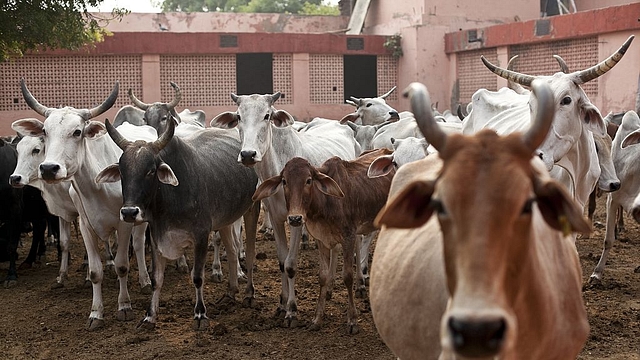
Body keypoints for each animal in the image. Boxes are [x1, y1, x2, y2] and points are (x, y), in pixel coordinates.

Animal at [12, 80, 158, 330]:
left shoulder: (124, 223)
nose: (49, 168)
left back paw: (145, 280)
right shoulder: (84, 225)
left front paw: (124, 306)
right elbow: (94, 269)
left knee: (139, 245)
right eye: (45, 132)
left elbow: (122, 265)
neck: (95, 185)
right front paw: (96, 313)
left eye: (77, 132)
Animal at [95, 117, 260, 330]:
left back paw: (249, 294)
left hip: (252, 209)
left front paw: (200, 315)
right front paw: (149, 316)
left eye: (151, 171)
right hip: (225, 220)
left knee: (249, 254)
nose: (129, 212)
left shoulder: (201, 236)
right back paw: (230, 293)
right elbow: (156, 279)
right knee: (232, 252)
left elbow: (197, 277)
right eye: (122, 172)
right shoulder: (157, 237)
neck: (171, 198)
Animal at [211, 95, 358, 326]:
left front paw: (292, 310)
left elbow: (290, 264)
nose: (248, 154)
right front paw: (282, 304)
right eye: (239, 116)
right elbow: (281, 261)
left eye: (267, 115)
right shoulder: (276, 217)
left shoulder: (297, 220)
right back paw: (329, 289)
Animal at [251, 147, 392, 334]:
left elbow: (347, 276)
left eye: (309, 180)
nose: (295, 218)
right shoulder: (322, 239)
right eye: (284, 181)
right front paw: (317, 319)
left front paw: (352, 320)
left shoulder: (348, 236)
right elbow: (323, 276)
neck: (326, 202)